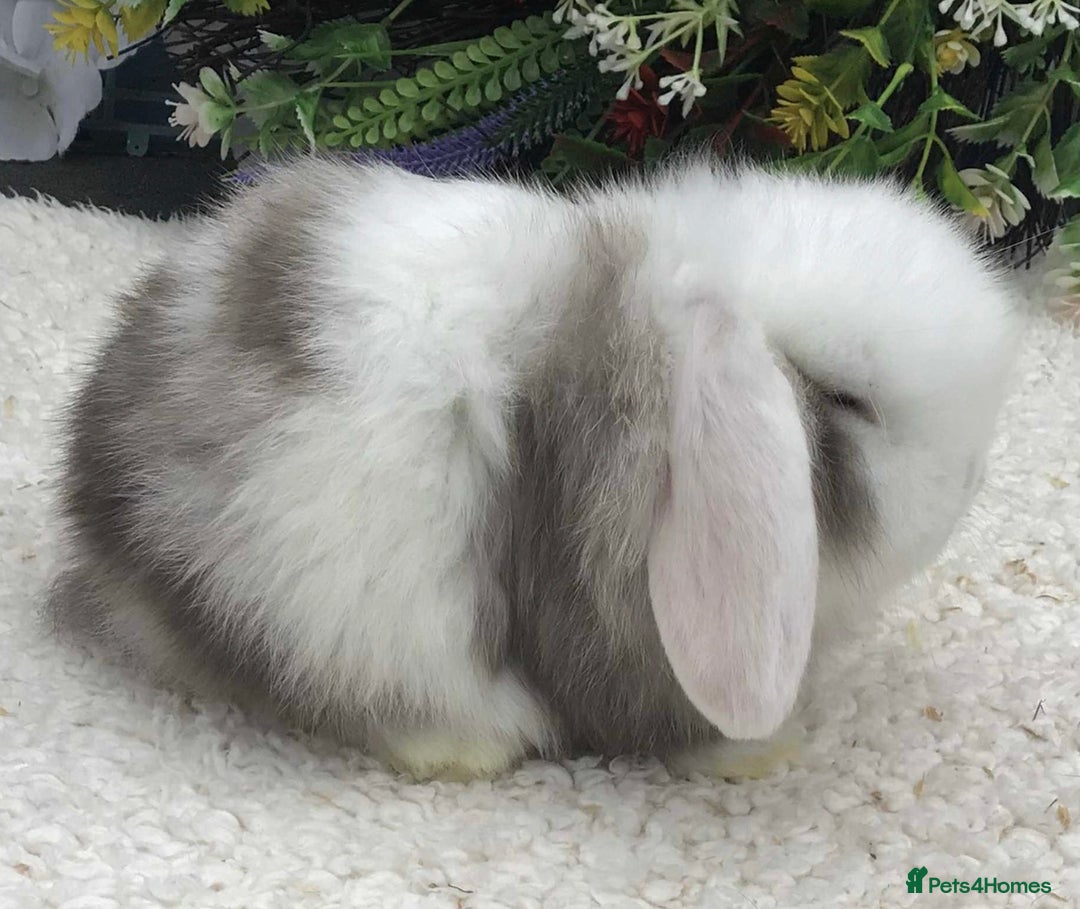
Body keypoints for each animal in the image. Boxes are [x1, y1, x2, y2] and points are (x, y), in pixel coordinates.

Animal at [48, 156, 1023, 779]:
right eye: (849, 399)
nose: (977, 475)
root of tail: (99, 520)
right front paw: (759, 751)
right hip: (316, 594)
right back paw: (466, 749)